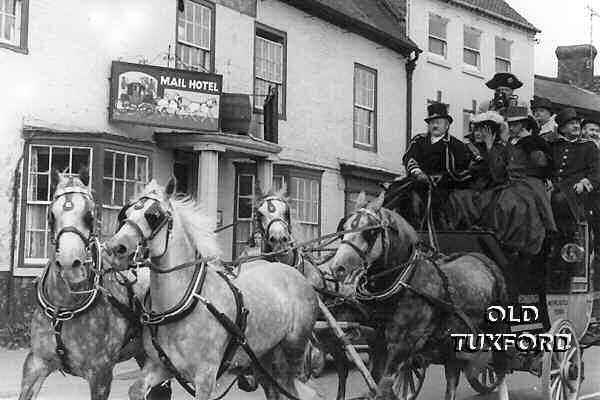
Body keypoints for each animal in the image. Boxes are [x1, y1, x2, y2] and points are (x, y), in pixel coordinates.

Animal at [19, 168, 170, 400]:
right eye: (51, 214)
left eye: (90, 215)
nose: (69, 263)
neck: (66, 305)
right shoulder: (36, 363)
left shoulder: (101, 374)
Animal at [103, 179, 318, 400]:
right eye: (126, 214)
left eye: (154, 216)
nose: (114, 248)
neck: (186, 303)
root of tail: (291, 271)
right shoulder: (161, 366)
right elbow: (136, 389)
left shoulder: (205, 377)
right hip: (266, 355)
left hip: (293, 352)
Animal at [326, 192, 508, 398]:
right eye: (344, 228)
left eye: (370, 232)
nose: (337, 267)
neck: (403, 283)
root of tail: (484, 260)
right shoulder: (378, 345)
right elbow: (376, 384)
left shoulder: (401, 347)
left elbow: (382, 387)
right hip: (450, 342)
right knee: (453, 378)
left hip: (495, 331)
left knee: (499, 369)